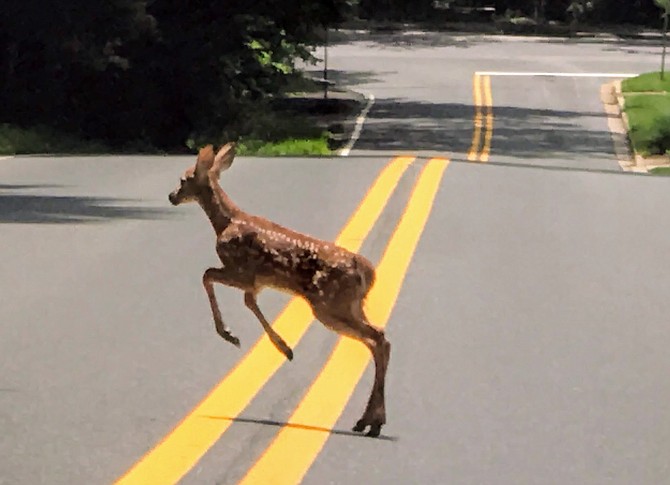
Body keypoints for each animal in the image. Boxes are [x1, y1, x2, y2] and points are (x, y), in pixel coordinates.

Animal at [168, 142, 394, 436]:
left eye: (184, 179)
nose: (171, 196)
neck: (226, 222)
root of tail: (368, 271)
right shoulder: (257, 282)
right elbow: (249, 302)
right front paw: (283, 347)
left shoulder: (241, 270)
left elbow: (207, 276)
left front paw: (231, 334)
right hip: (350, 305)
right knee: (378, 339)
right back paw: (367, 421)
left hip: (329, 304)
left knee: (377, 338)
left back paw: (373, 422)